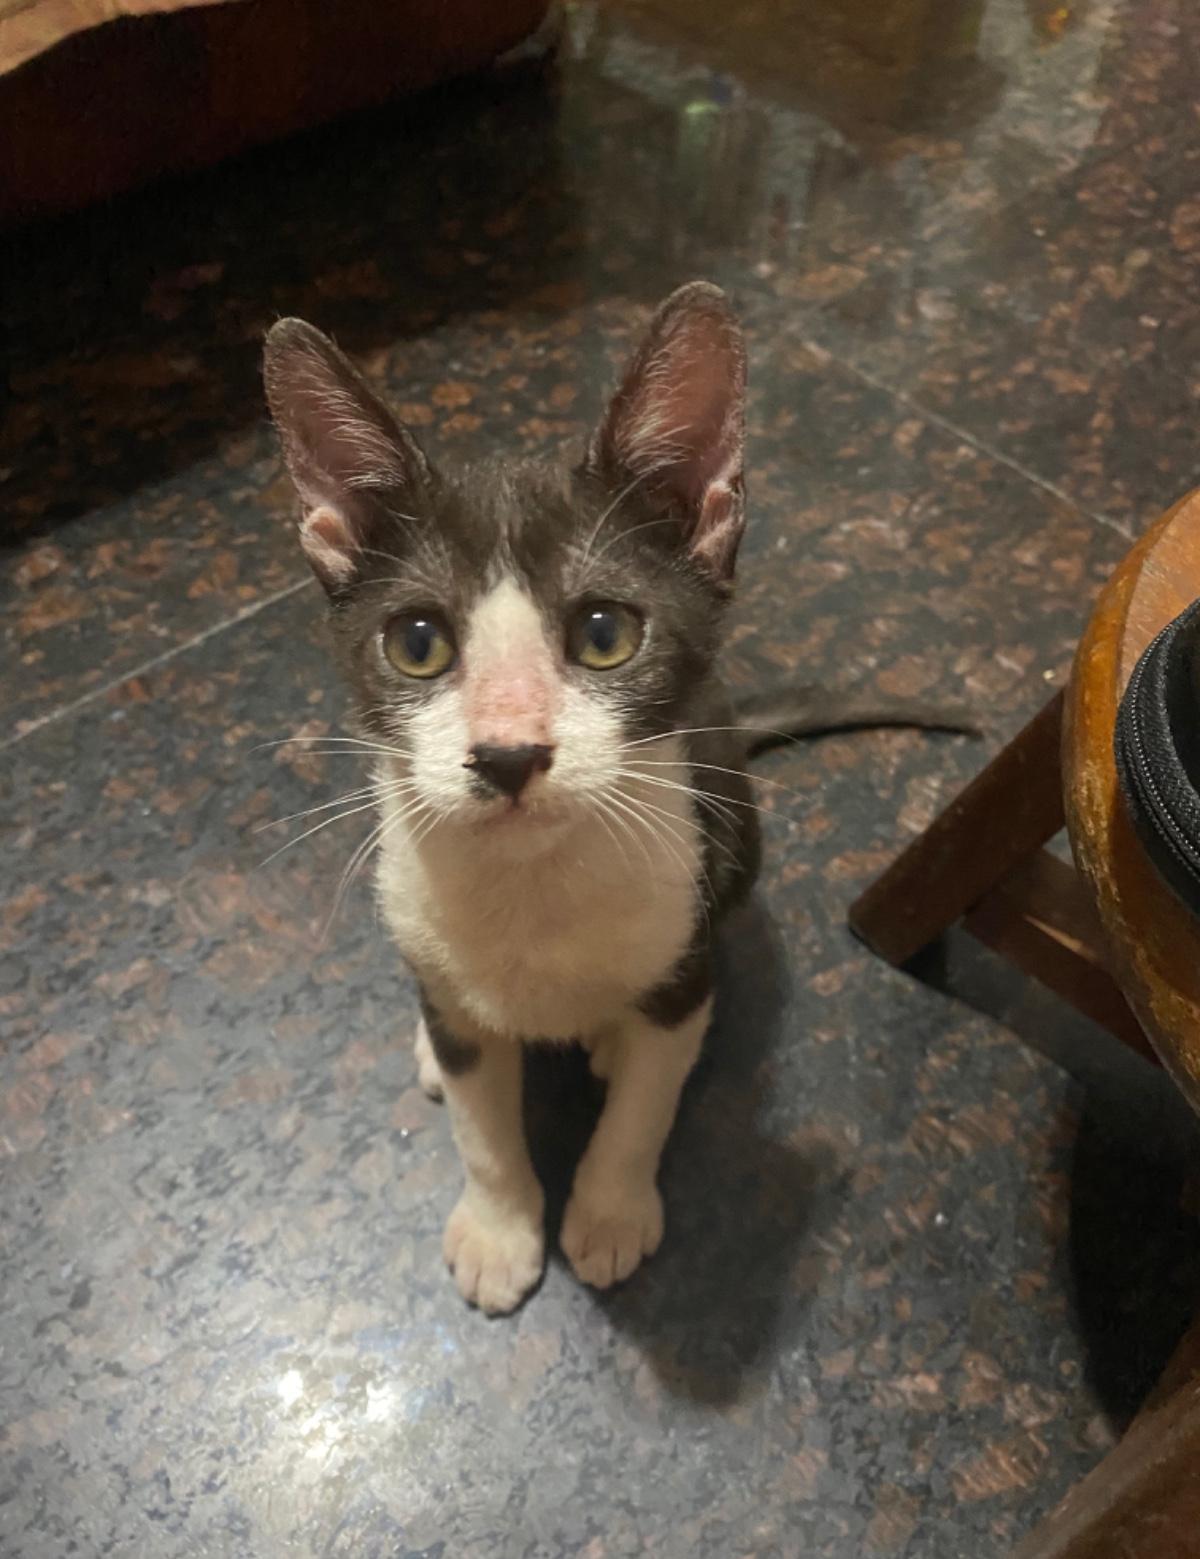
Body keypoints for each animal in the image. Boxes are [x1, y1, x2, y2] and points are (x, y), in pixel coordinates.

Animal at [263, 282, 970, 1314]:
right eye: (417, 644)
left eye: (605, 634)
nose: (509, 754)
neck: (534, 890)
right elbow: (481, 1125)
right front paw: (499, 1226)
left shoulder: (682, 953)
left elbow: (647, 1101)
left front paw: (609, 1212)